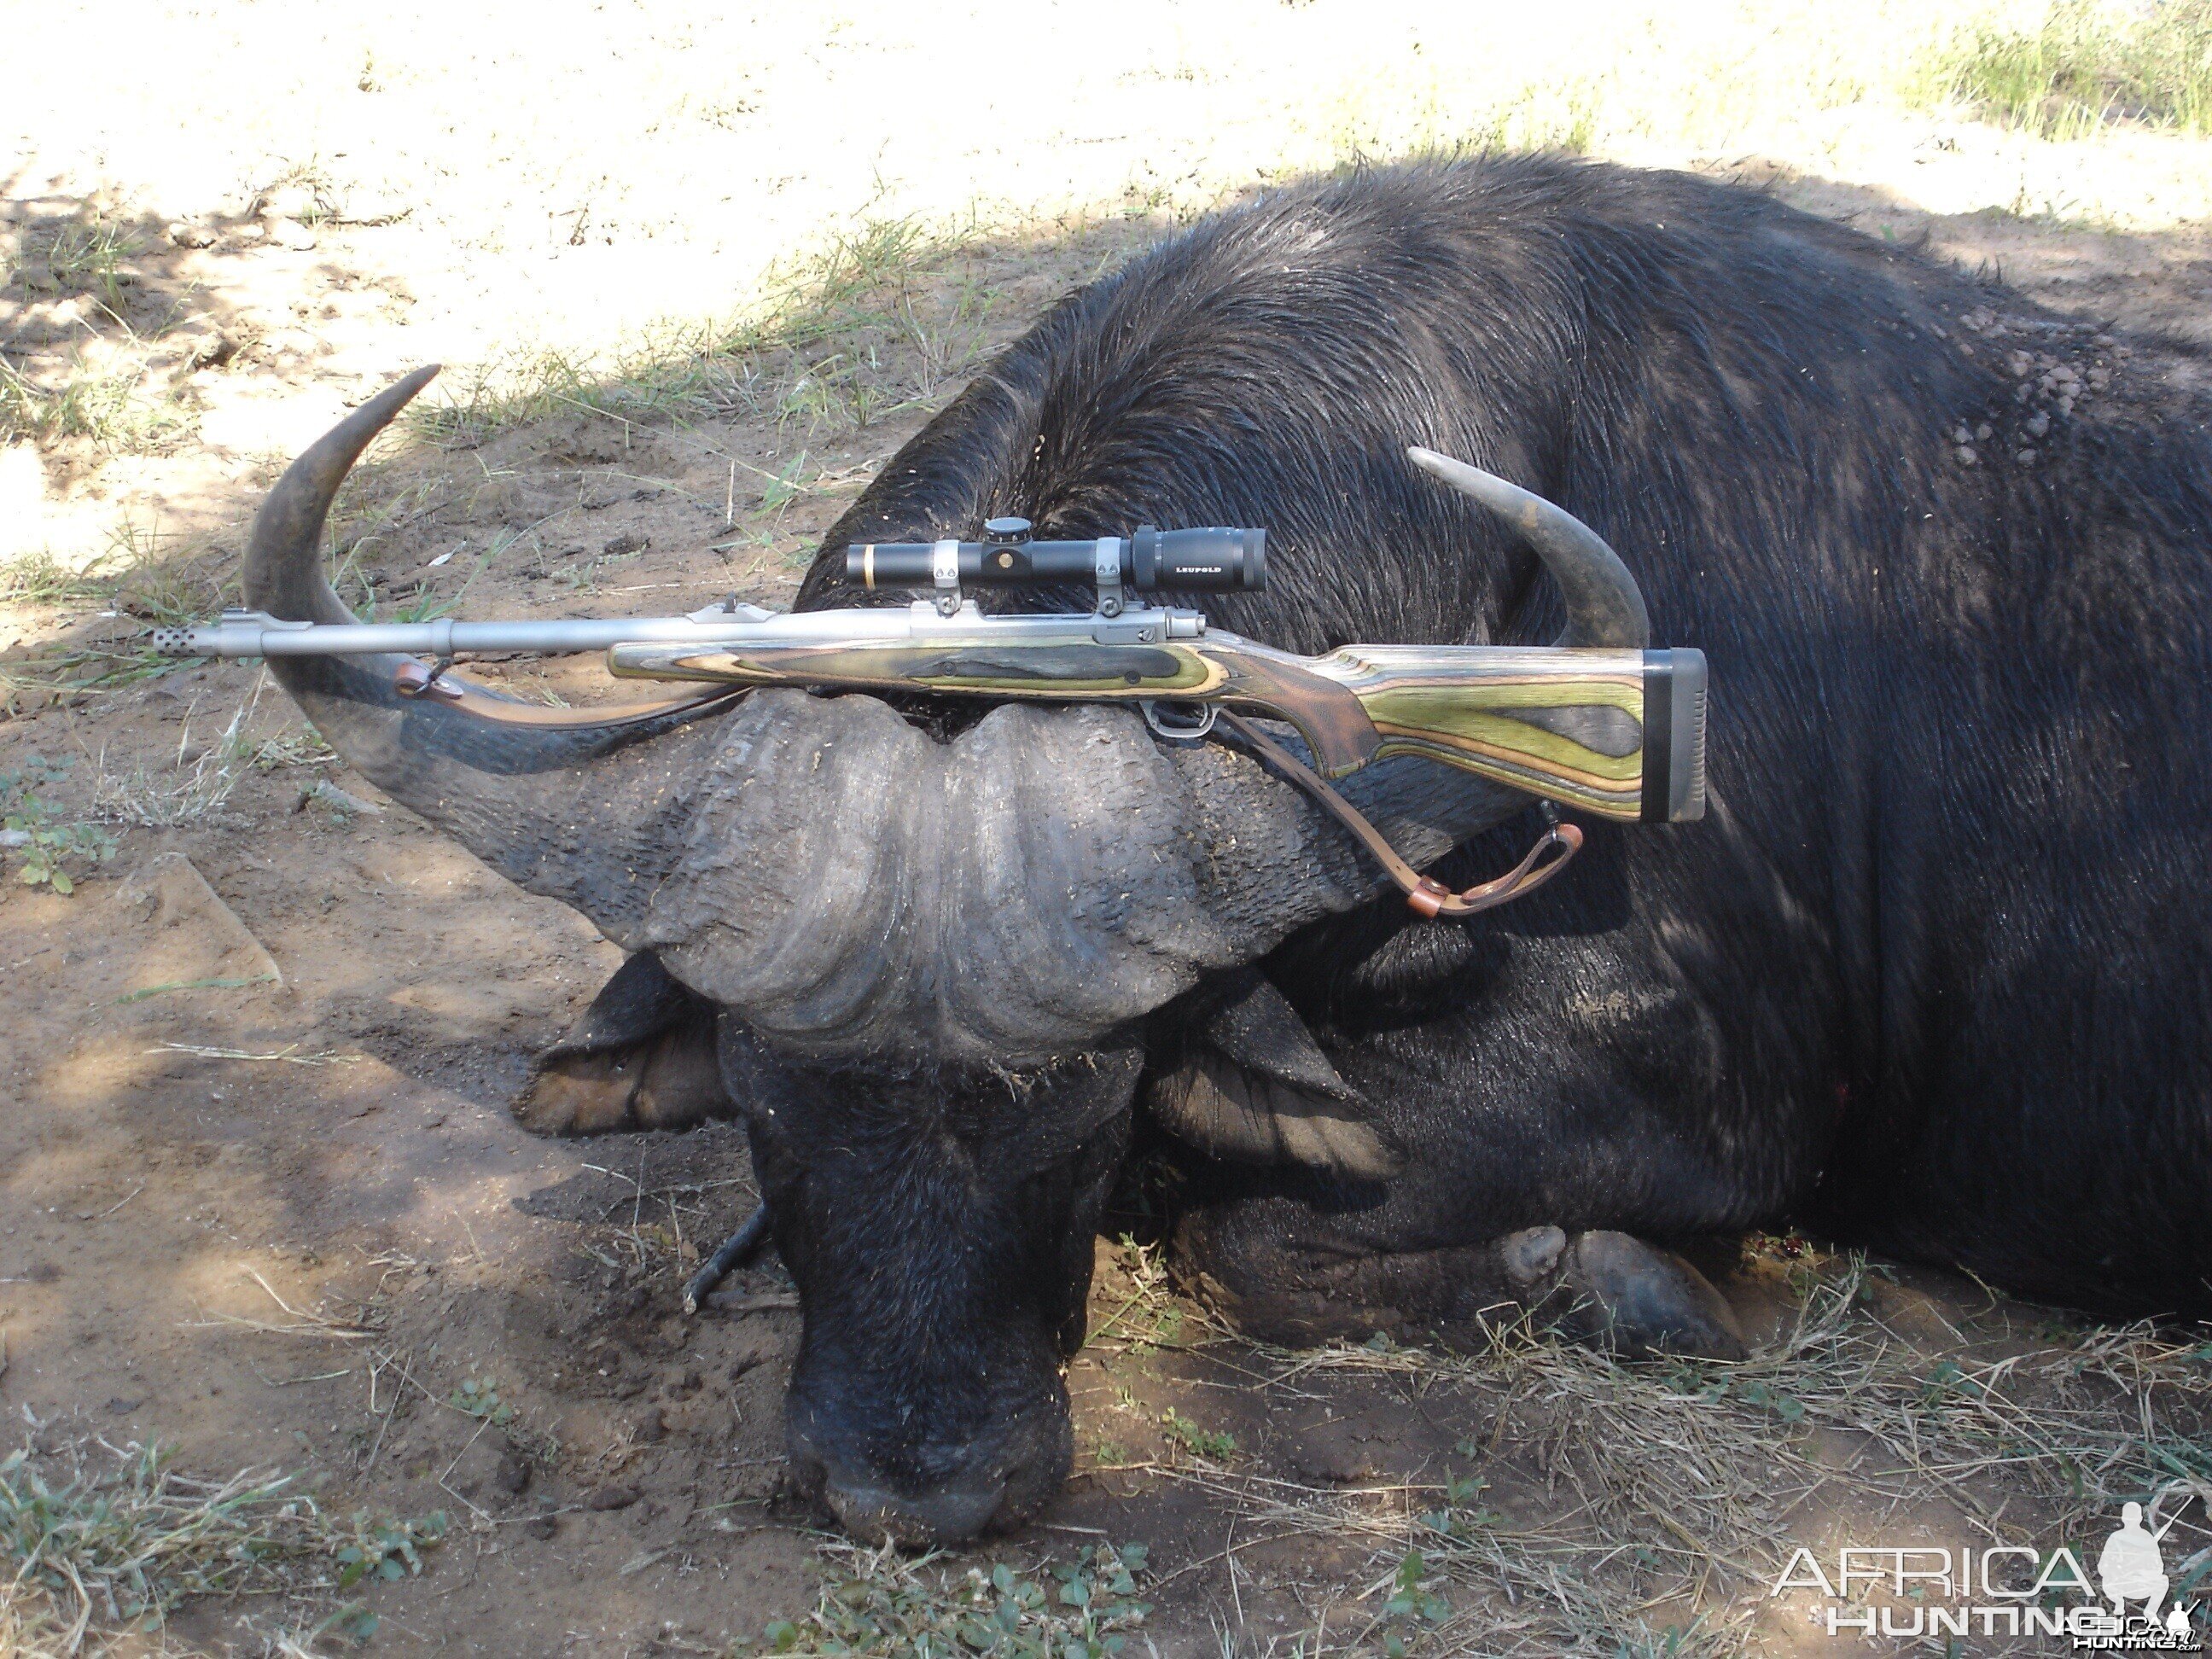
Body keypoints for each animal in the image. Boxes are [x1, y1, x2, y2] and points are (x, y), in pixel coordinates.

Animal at [233, 155, 2203, 1548]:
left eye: (1078, 1115)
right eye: (769, 1106)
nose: (916, 1493)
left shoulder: (1689, 1103)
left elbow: (1237, 1225)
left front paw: (1623, 1280)